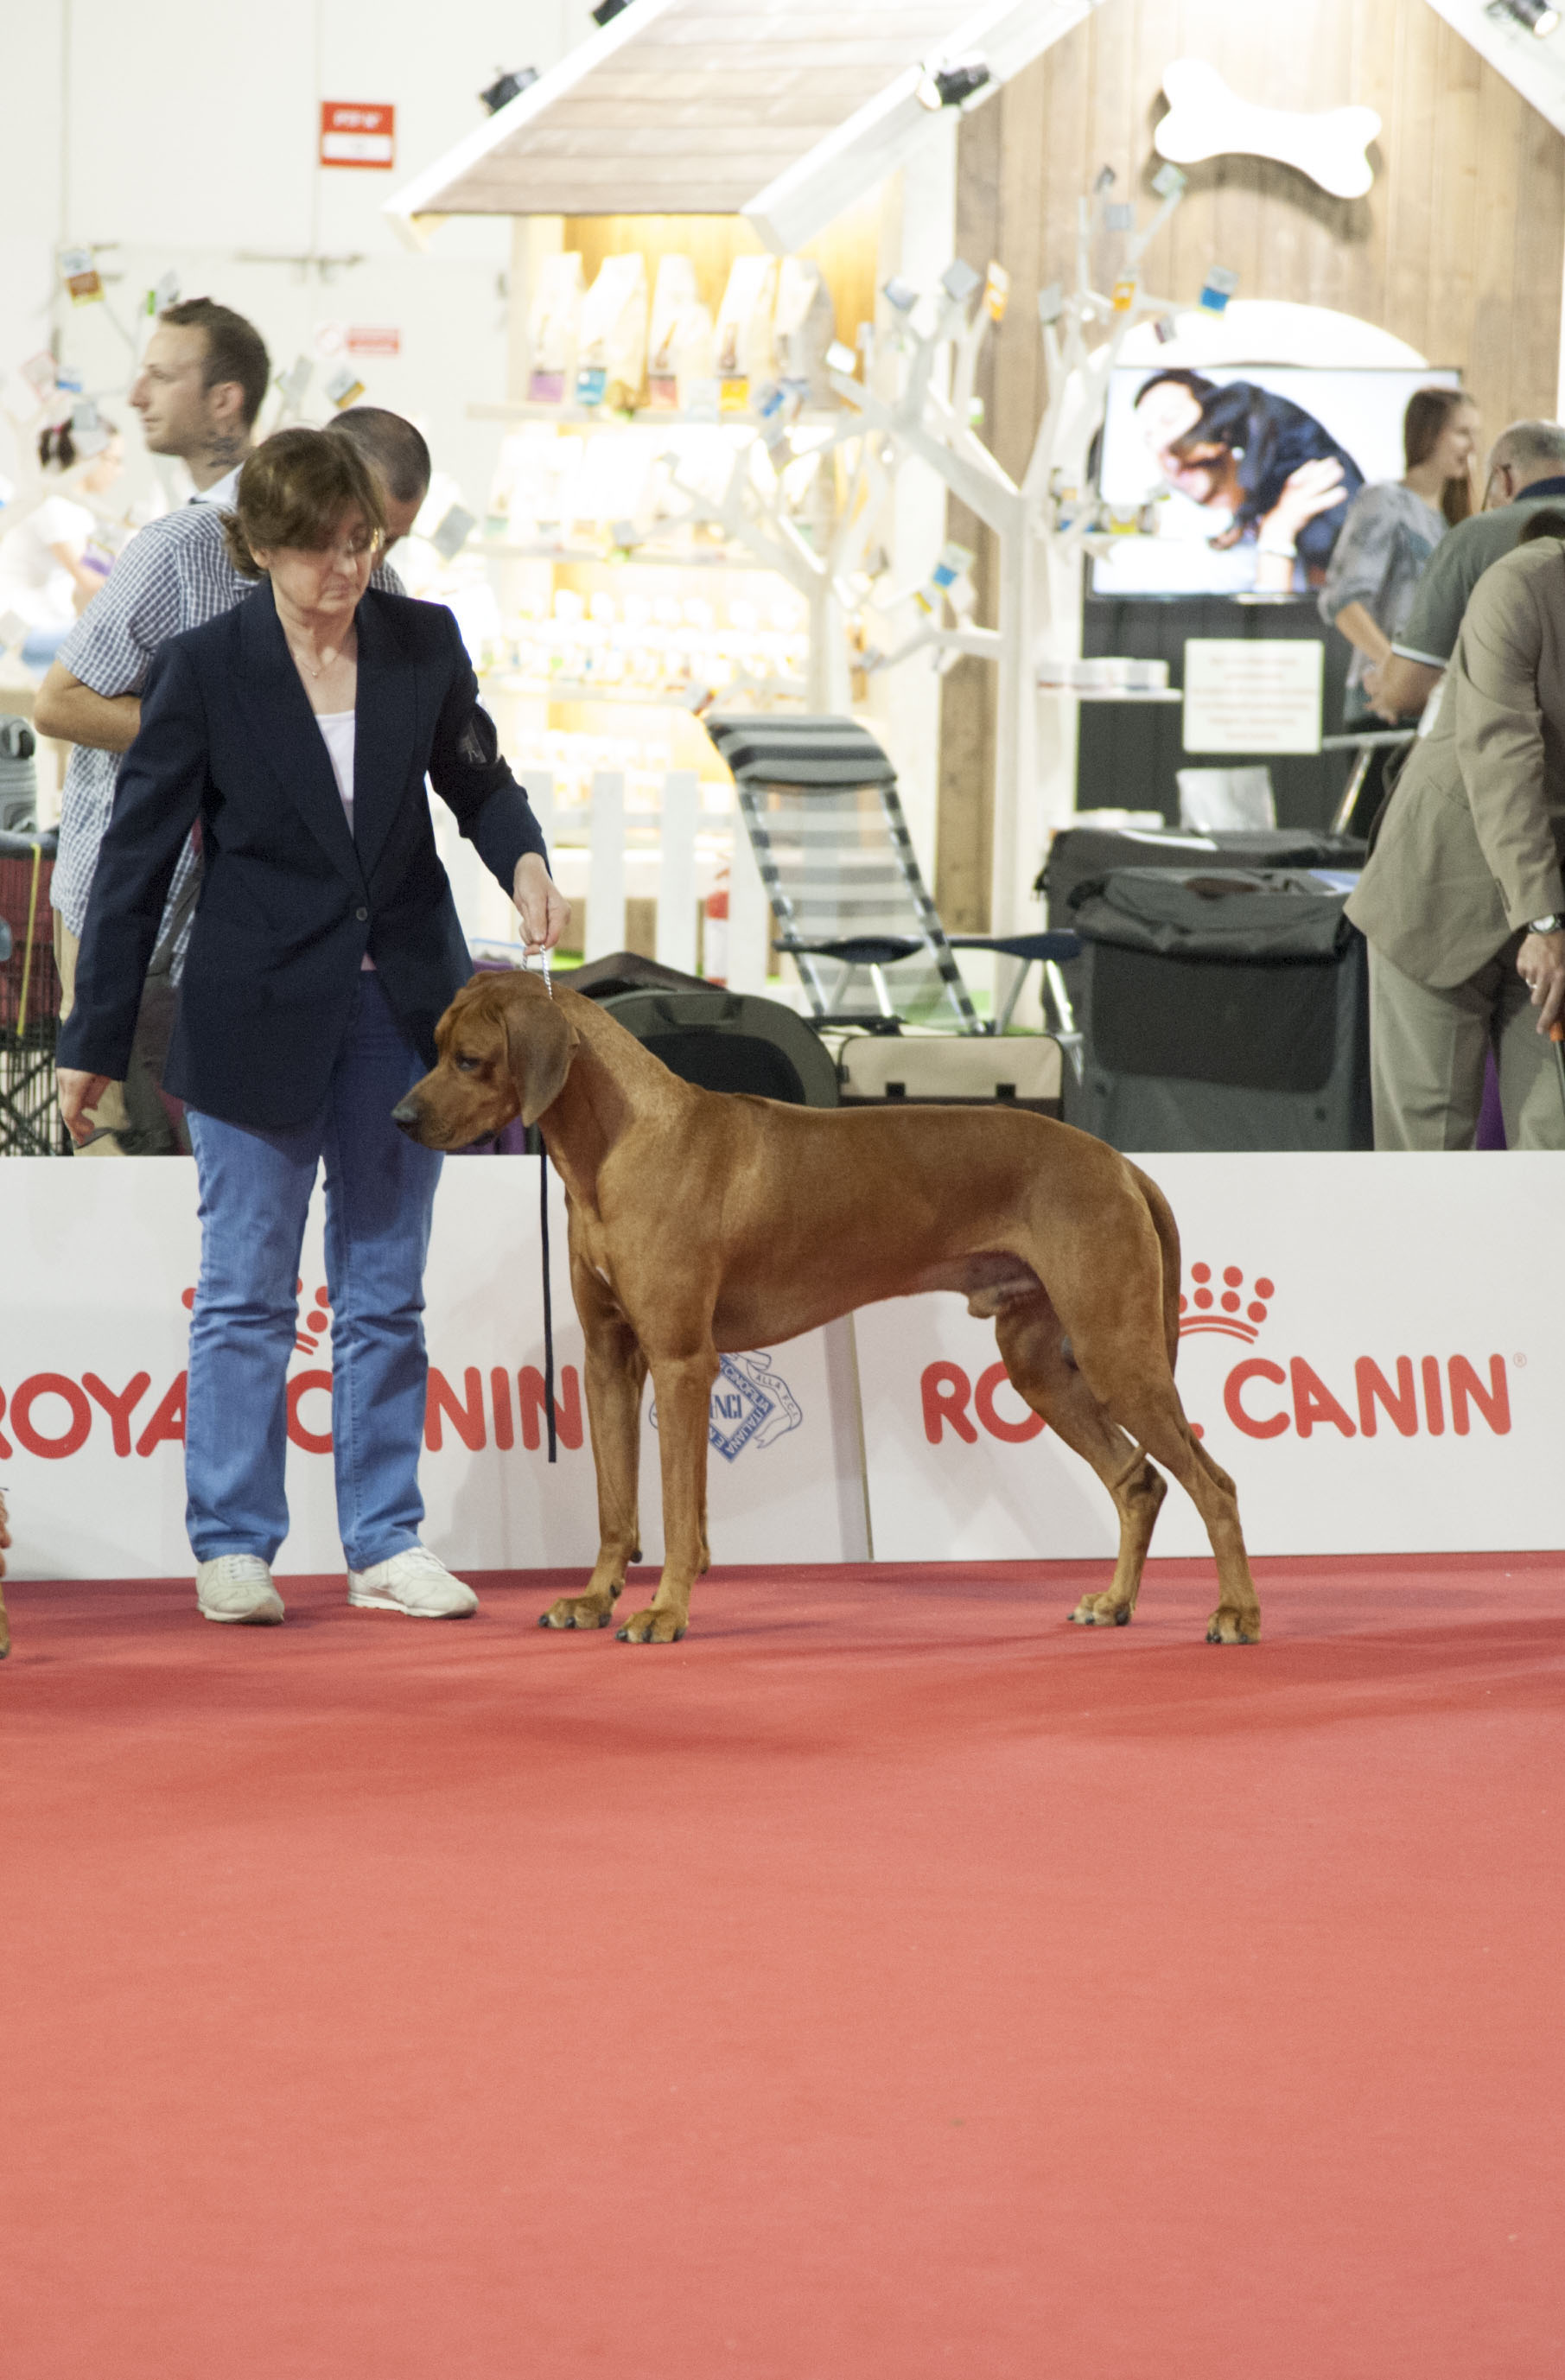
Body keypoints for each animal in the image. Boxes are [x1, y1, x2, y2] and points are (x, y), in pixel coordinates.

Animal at [390, 976, 1256, 1646]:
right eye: (433, 1047)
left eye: (468, 1059)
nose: (399, 1121)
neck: (621, 1142)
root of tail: (1118, 1162)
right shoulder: (608, 1359)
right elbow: (614, 1505)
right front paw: (596, 1598)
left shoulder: (680, 1362)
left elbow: (675, 1509)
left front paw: (664, 1612)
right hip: (1040, 1365)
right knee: (1137, 1482)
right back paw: (1114, 1604)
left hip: (1116, 1352)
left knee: (1214, 1484)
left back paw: (1235, 1613)